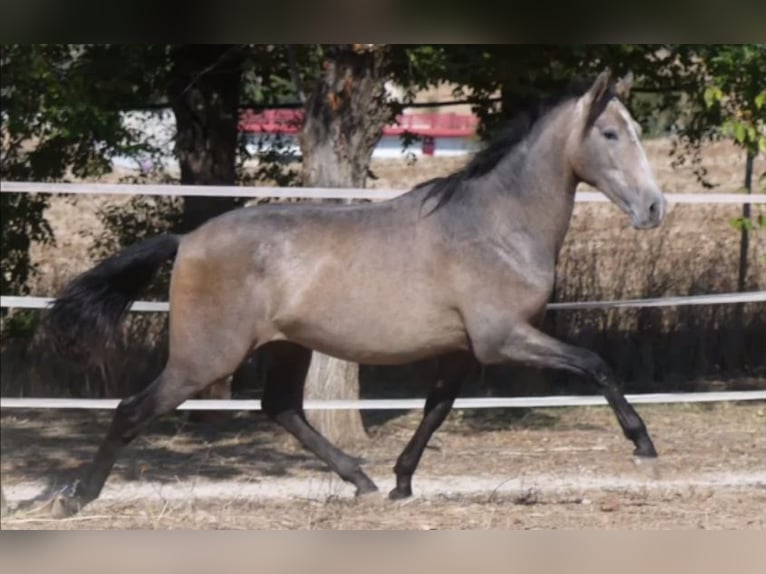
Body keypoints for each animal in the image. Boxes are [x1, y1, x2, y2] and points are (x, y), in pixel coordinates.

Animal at [43, 67, 664, 516]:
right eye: (610, 134)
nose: (655, 208)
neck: (495, 224)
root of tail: (188, 239)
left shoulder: (462, 349)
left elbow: (436, 410)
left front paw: (401, 483)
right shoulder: (503, 337)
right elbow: (597, 365)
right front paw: (643, 448)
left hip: (287, 346)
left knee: (281, 408)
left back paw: (360, 479)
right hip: (204, 358)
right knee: (131, 411)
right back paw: (76, 499)